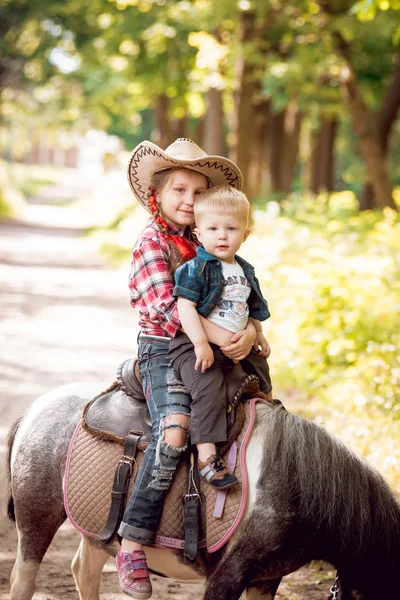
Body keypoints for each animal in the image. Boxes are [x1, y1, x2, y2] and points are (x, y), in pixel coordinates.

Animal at [5, 382, 400, 596]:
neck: (294, 483)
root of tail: (35, 407)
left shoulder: (266, 580)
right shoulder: (229, 574)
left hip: (95, 531)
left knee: (84, 575)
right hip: (37, 519)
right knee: (22, 581)